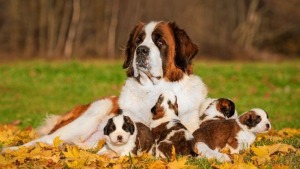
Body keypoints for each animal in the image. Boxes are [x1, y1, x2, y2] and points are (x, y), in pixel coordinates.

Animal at [1, 21, 206, 152]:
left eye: (160, 41)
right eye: (138, 41)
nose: (141, 50)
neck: (153, 90)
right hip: (93, 113)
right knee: (44, 140)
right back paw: (11, 150)